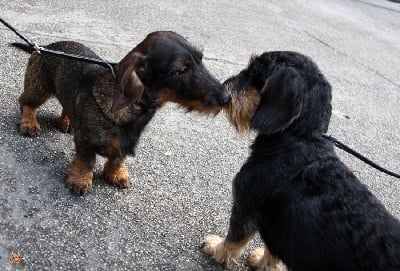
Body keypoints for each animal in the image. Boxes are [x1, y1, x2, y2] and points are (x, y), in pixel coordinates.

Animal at [13, 31, 231, 196]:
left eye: (201, 60)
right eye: (180, 70)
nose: (227, 98)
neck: (136, 110)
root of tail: (44, 46)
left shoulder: (125, 142)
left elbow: (118, 157)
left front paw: (116, 174)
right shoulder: (86, 141)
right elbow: (87, 160)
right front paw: (80, 180)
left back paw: (66, 122)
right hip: (39, 89)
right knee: (26, 103)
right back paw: (29, 123)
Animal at [203, 51, 400, 271]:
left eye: (254, 72)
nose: (225, 91)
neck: (300, 138)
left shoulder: (245, 206)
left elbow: (234, 239)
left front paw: (216, 248)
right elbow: (273, 252)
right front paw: (264, 263)